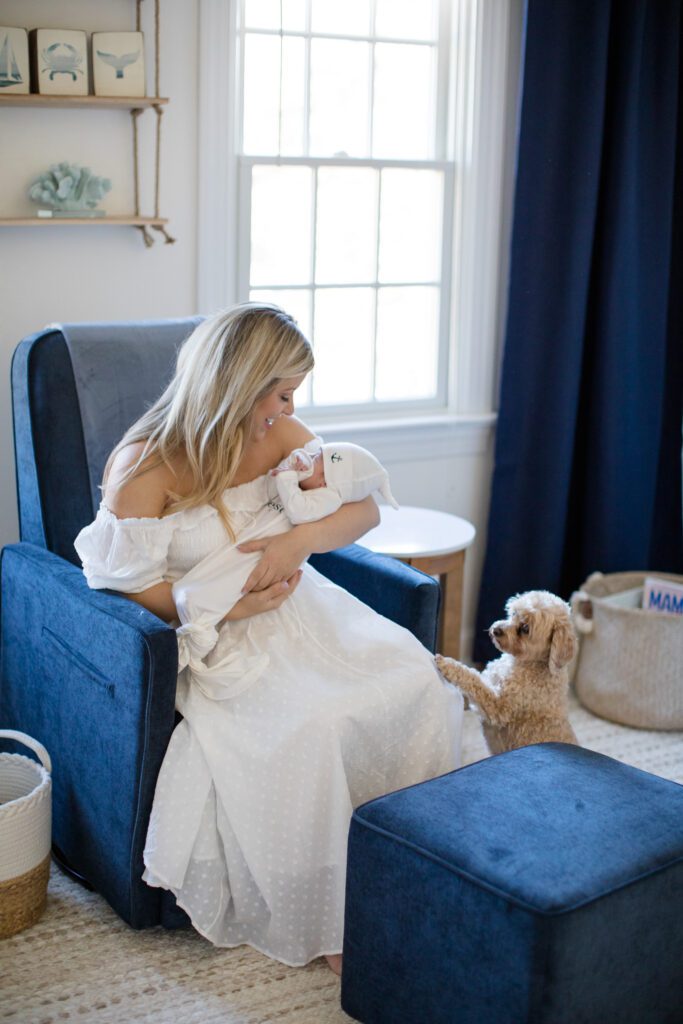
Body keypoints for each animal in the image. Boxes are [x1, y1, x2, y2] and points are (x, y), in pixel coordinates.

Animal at [436, 593, 581, 753]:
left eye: (525, 628)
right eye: (514, 614)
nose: (496, 630)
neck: (531, 663)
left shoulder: (498, 707)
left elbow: (473, 679)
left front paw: (448, 664)